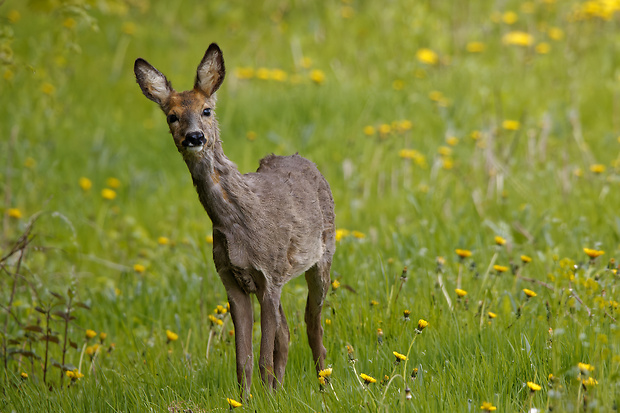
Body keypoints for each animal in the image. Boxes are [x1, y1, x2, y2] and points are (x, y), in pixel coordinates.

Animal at [132, 43, 334, 394]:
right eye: (172, 116)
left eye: (206, 110)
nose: (194, 137)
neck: (238, 226)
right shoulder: (232, 279)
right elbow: (244, 360)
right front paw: (247, 399)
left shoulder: (269, 274)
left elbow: (264, 356)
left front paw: (265, 398)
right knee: (287, 332)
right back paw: (283, 389)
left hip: (323, 255)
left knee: (312, 324)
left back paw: (324, 386)